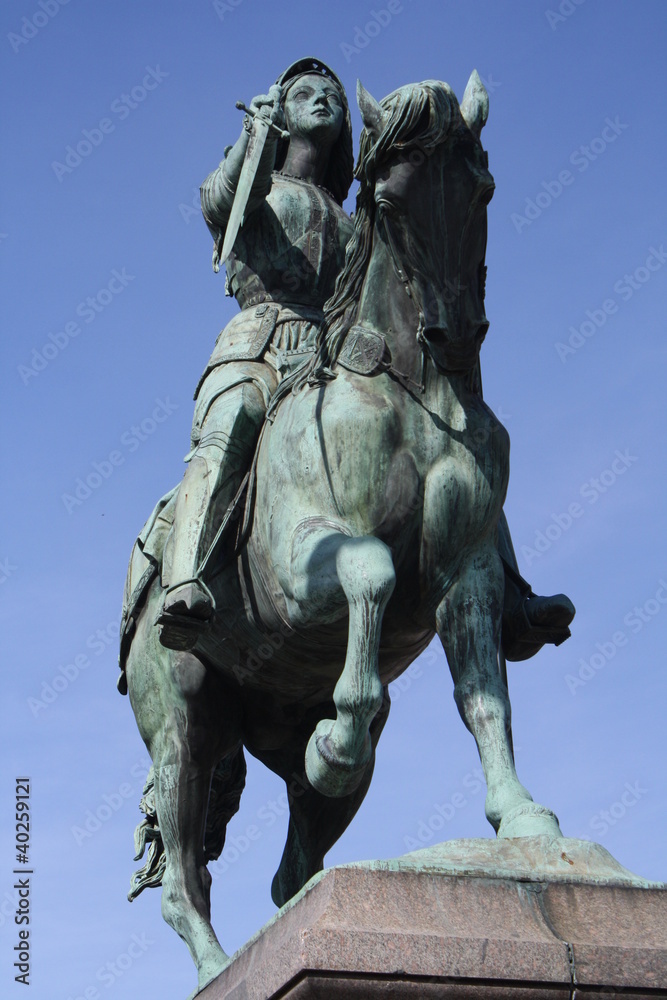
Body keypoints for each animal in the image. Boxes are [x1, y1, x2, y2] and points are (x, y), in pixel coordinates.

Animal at [121, 72, 564, 992]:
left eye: (482, 187)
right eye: (388, 198)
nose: (452, 334)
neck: (406, 387)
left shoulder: (468, 572)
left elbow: (484, 698)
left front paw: (518, 816)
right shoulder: (301, 575)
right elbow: (370, 571)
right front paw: (338, 741)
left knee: (291, 867)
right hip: (181, 725)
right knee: (183, 879)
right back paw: (220, 961)